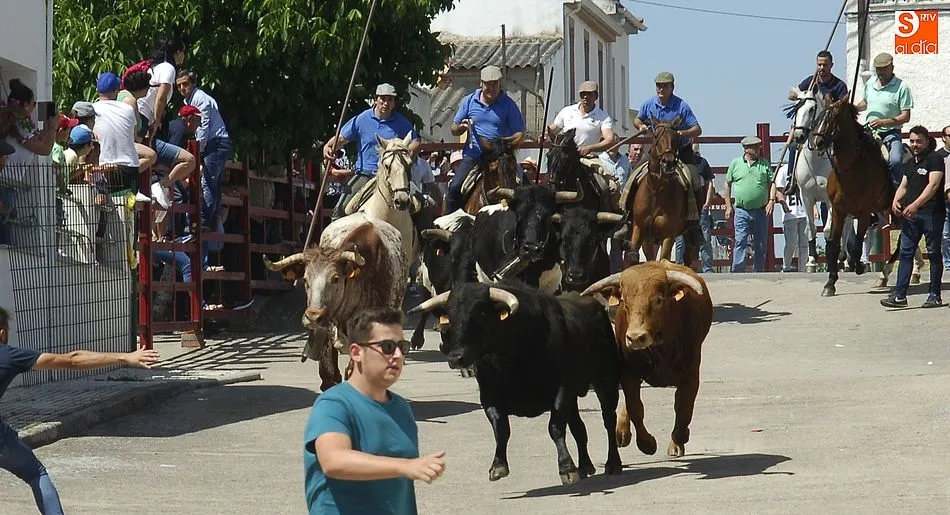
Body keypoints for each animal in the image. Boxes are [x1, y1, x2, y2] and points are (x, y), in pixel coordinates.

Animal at [811, 99, 901, 296]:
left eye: (834, 117)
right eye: (820, 117)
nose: (817, 142)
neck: (852, 168)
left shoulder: (864, 212)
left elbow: (858, 244)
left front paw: (859, 265)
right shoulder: (838, 210)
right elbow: (834, 245)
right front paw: (830, 283)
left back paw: (886, 272)